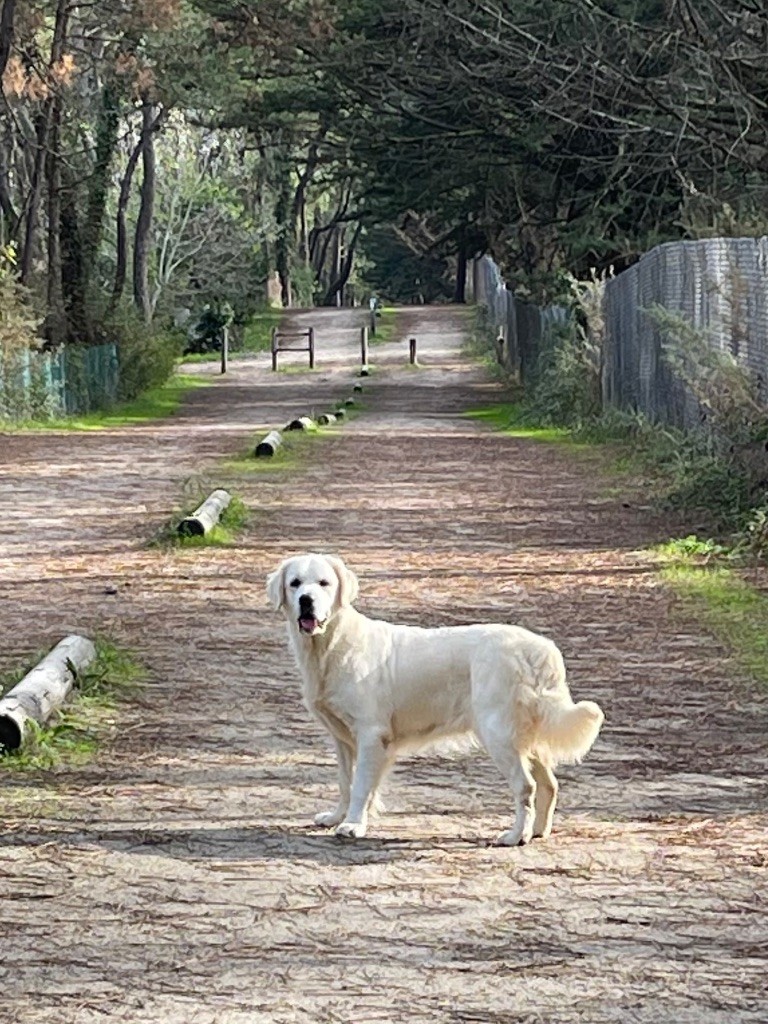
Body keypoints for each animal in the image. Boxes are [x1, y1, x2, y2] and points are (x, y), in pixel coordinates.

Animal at [268, 557, 606, 843]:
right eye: (295, 583)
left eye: (323, 583)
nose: (307, 601)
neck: (330, 646)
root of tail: (539, 648)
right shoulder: (342, 738)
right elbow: (345, 782)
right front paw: (337, 816)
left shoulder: (370, 733)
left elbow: (361, 784)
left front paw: (352, 825)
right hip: (523, 735)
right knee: (549, 783)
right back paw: (538, 831)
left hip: (497, 732)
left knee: (526, 786)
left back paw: (515, 836)